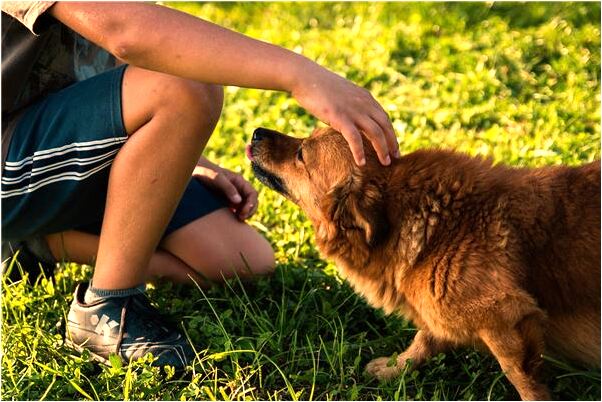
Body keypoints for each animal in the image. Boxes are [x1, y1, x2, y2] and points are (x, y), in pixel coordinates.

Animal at [246, 125, 596, 398]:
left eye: (301, 154)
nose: (257, 132)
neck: (437, 224)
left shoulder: (507, 318)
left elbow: (522, 379)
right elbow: (424, 338)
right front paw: (395, 368)